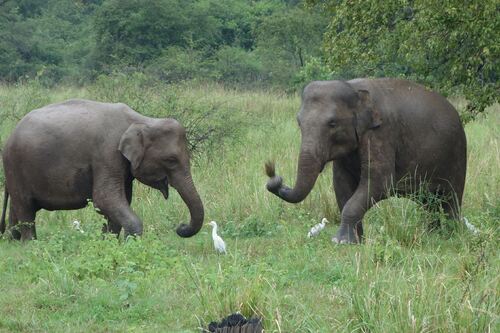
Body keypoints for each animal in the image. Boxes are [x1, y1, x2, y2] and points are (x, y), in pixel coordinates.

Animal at [0, 98, 203, 239]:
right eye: (171, 160)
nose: (180, 227)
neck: (141, 119)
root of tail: (10, 137)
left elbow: (121, 201)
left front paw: (108, 241)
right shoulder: (107, 153)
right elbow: (105, 199)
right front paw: (129, 243)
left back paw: (13, 239)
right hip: (15, 167)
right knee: (26, 209)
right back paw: (30, 244)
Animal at [268, 79, 466, 243]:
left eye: (332, 123)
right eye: (298, 122)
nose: (276, 180)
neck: (354, 88)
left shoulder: (381, 133)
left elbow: (379, 182)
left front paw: (341, 242)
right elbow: (341, 185)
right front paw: (355, 242)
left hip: (458, 154)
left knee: (451, 199)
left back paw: (450, 236)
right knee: (430, 203)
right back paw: (433, 234)